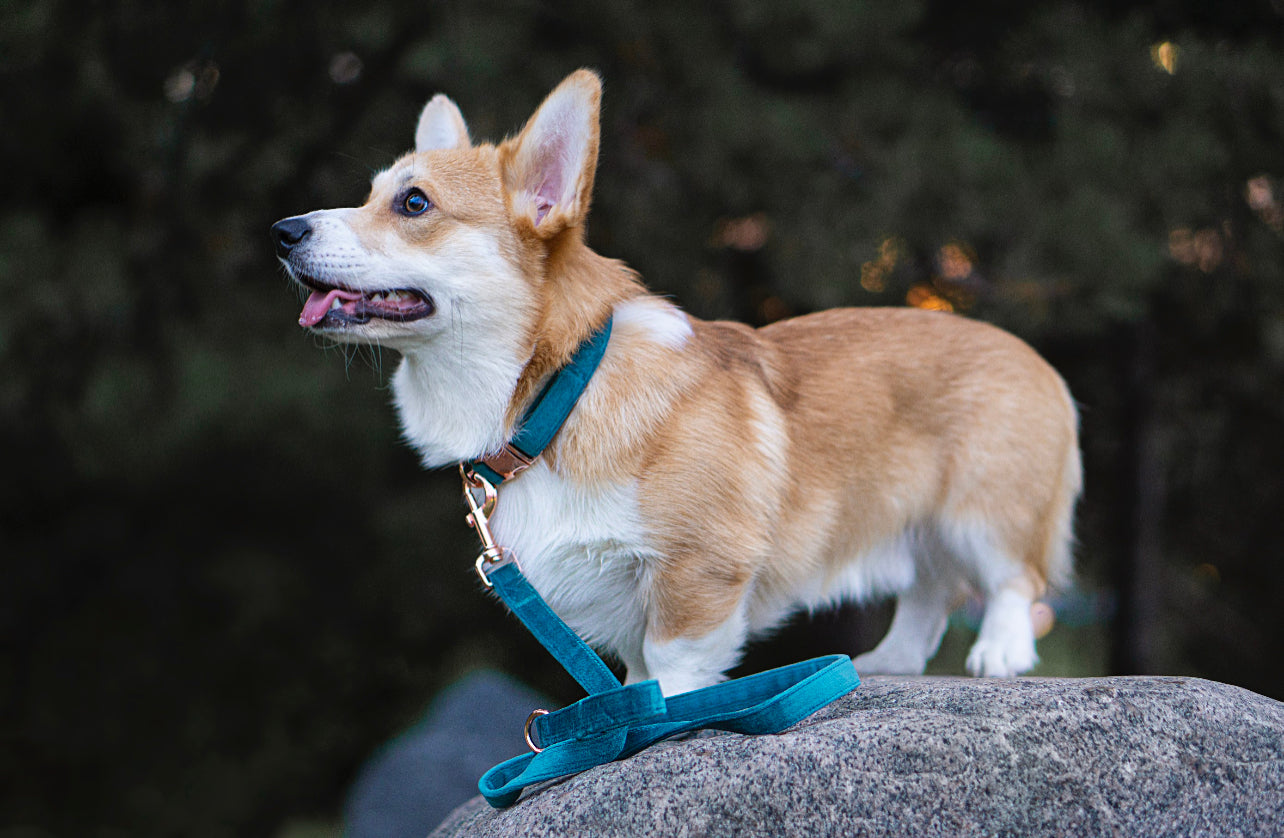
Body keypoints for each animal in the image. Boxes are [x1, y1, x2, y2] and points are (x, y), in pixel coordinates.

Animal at [273, 70, 1083, 692]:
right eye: (371, 195)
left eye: (414, 203)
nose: (282, 231)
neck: (554, 393)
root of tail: (1035, 358)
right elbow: (634, 673)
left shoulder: (700, 569)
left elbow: (672, 664)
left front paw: (668, 715)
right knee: (930, 591)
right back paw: (893, 660)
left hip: (983, 510)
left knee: (1012, 579)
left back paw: (1000, 650)